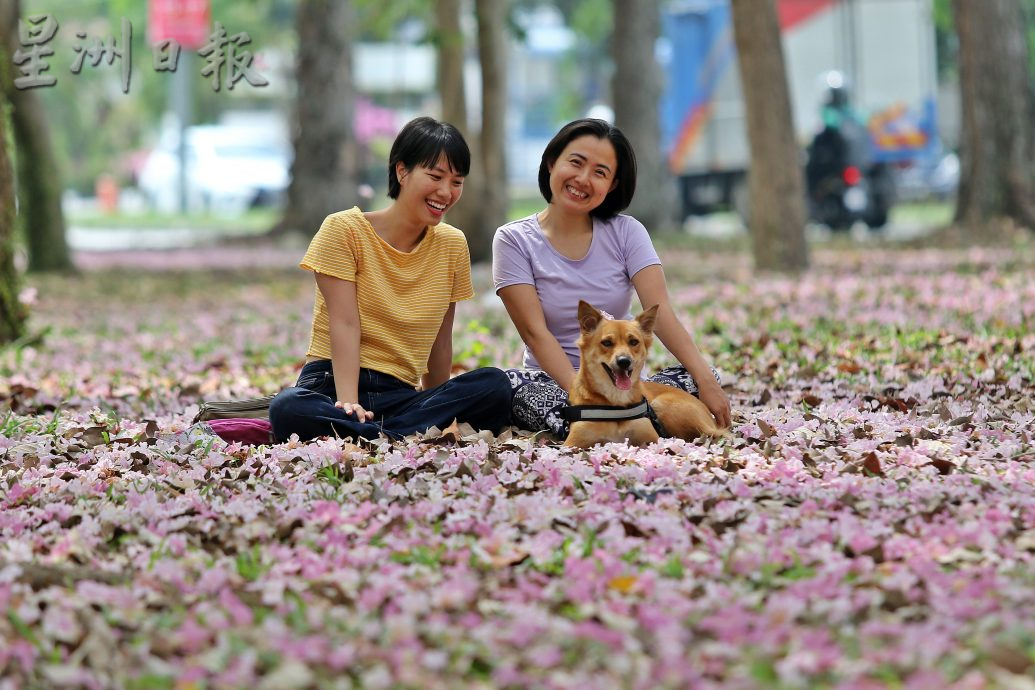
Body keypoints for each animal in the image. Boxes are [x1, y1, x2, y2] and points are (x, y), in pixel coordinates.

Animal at [563, 300, 724, 451]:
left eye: (634, 342)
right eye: (607, 343)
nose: (624, 361)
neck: (616, 401)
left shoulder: (652, 438)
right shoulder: (572, 443)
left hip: (662, 405)